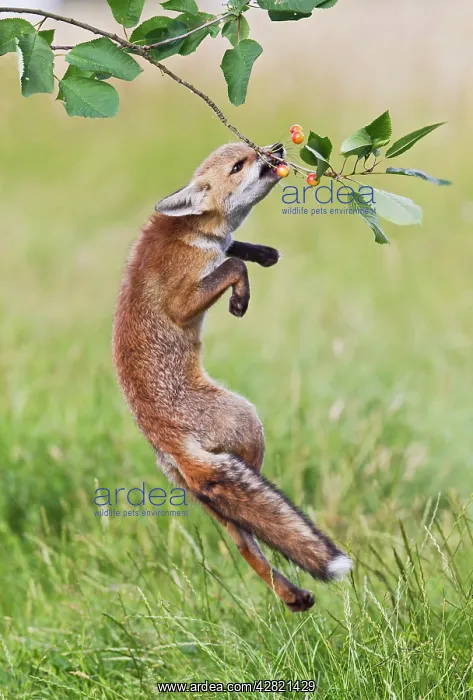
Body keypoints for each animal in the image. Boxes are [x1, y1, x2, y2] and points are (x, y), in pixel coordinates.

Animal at [112, 141, 351, 612]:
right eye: (239, 164)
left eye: (251, 151)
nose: (275, 148)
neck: (192, 232)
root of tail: (168, 438)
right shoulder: (181, 302)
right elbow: (231, 266)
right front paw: (240, 297)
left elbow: (235, 252)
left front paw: (260, 252)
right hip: (249, 426)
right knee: (256, 511)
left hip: (203, 495)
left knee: (243, 542)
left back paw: (292, 594)